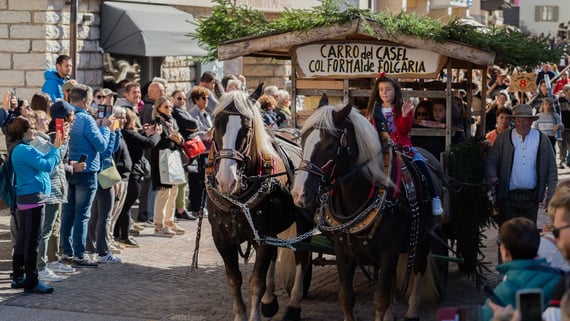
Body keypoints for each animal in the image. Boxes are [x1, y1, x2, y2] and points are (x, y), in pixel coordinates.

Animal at [205, 90, 310, 320]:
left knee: (301, 256)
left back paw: (294, 305)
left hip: (304, 219)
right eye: (216, 125)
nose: (226, 180)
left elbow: (256, 282)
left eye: (246, 128)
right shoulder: (221, 236)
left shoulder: (264, 234)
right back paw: (269, 301)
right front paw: (241, 314)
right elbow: (234, 279)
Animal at [288, 101, 444, 318]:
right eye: (302, 140)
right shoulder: (343, 252)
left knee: (418, 269)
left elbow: (380, 300)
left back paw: (412, 311)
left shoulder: (389, 251)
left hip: (424, 237)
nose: (298, 193)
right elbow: (346, 297)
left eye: (330, 145)